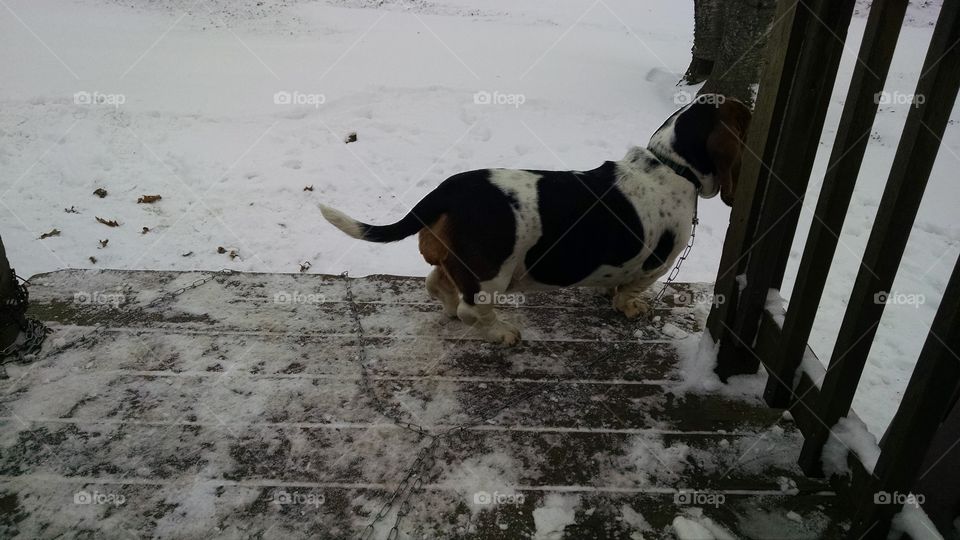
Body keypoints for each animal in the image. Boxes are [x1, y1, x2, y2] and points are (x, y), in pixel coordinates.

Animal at [322, 94, 752, 344]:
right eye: (745, 116)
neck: (670, 164)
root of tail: (446, 192)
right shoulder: (655, 265)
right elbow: (630, 290)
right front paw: (630, 307)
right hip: (493, 275)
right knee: (472, 310)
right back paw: (502, 333)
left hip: (460, 265)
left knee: (438, 285)